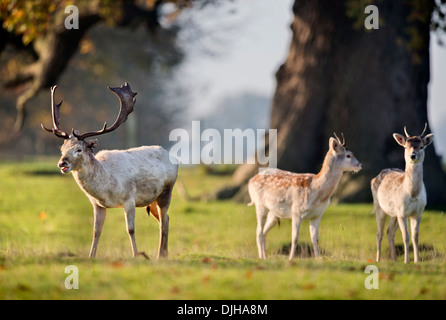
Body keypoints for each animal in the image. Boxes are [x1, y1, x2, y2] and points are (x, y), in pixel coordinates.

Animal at [41, 84, 178, 258]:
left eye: (79, 149)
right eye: (62, 149)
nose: (61, 163)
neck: (106, 188)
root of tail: (171, 156)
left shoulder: (129, 199)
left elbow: (130, 229)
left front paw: (136, 255)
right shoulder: (97, 205)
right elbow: (96, 231)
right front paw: (91, 256)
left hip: (167, 190)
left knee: (164, 221)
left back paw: (160, 255)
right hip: (152, 199)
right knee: (166, 218)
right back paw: (164, 254)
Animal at [372, 124, 434, 264]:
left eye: (421, 146)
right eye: (406, 146)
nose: (413, 155)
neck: (413, 194)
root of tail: (374, 178)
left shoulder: (418, 212)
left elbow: (415, 236)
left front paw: (417, 260)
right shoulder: (401, 212)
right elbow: (406, 236)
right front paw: (406, 261)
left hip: (393, 214)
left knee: (389, 232)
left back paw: (394, 260)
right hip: (379, 207)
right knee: (379, 233)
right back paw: (378, 259)